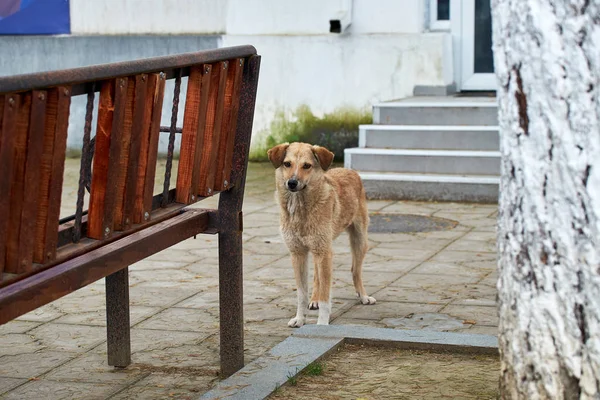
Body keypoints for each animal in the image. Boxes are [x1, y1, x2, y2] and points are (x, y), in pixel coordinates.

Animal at [268, 142, 376, 326]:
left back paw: (363, 296)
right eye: (287, 164)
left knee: (355, 270)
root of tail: (348, 170)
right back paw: (314, 300)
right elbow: (302, 294)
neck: (300, 209)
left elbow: (326, 297)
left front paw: (322, 324)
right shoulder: (298, 254)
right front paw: (300, 319)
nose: (292, 183)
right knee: (317, 276)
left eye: (307, 166)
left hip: (359, 240)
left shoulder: (324, 252)